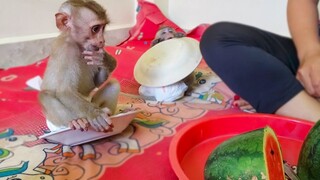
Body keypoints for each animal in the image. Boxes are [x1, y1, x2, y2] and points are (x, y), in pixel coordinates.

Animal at [38, 0, 120, 132]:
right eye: (95, 29)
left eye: (103, 28)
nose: (102, 41)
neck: (77, 44)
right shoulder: (66, 50)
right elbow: (65, 91)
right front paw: (95, 114)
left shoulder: (91, 51)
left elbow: (97, 82)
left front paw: (105, 60)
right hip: (55, 123)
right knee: (45, 96)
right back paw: (77, 121)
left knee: (114, 85)